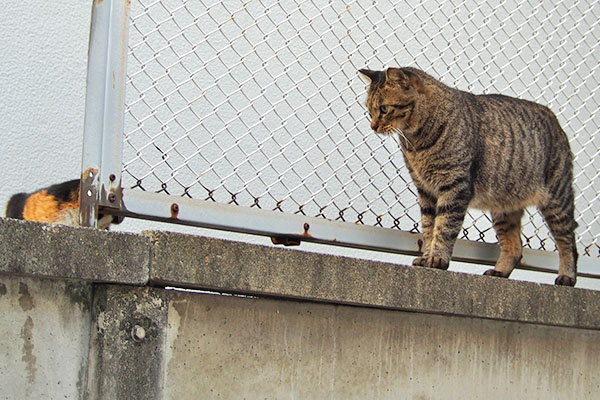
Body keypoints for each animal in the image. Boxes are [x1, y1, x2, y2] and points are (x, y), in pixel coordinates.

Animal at [358, 67, 580, 286]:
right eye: (369, 109)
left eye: (384, 109)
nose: (372, 126)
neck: (417, 142)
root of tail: (554, 118)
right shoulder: (426, 191)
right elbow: (429, 228)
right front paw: (427, 256)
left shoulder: (455, 185)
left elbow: (444, 227)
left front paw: (437, 258)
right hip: (504, 208)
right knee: (515, 247)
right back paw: (499, 271)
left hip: (557, 200)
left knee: (569, 242)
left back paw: (567, 276)